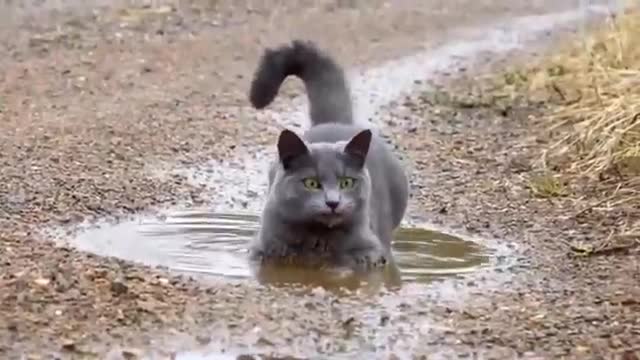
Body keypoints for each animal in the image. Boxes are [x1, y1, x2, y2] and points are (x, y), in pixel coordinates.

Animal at [248, 40, 408, 270]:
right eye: (311, 183)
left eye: (347, 182)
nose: (333, 202)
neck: (319, 239)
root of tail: (335, 121)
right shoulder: (262, 248)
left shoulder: (372, 253)